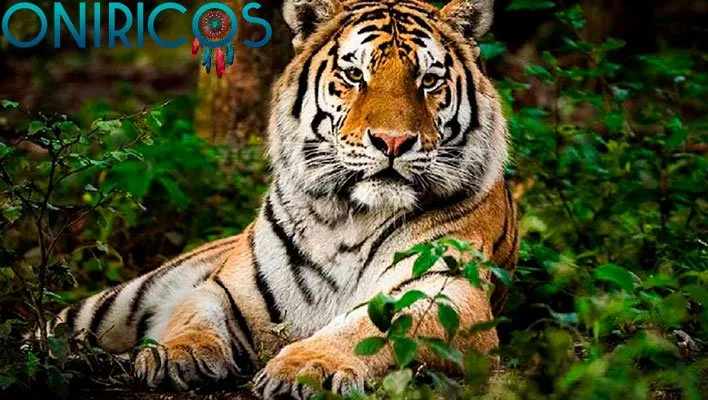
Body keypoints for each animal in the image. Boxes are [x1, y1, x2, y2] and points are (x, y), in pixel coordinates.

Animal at [54, 0, 518, 398]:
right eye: (355, 76)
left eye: (429, 80)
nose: (393, 141)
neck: (350, 217)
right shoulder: (226, 288)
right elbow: (192, 314)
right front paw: (174, 354)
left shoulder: (447, 293)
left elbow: (371, 329)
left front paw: (308, 368)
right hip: (118, 303)